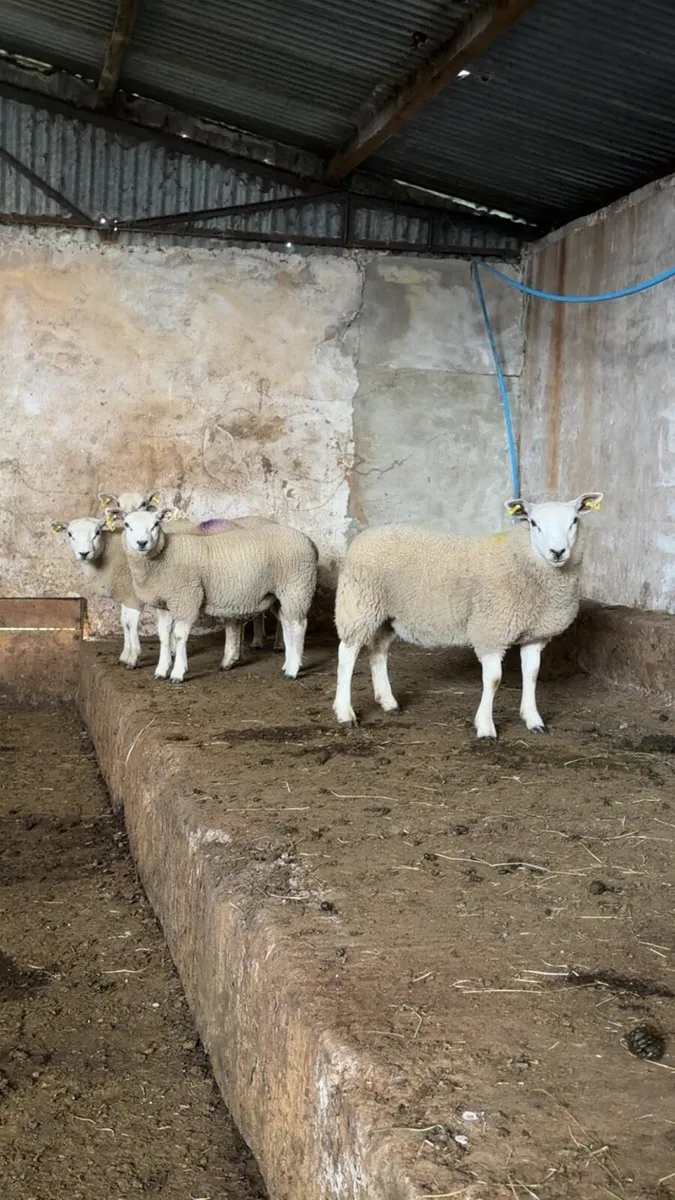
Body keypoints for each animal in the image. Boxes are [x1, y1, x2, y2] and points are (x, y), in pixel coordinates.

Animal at [120, 504, 318, 683]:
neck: (164, 557)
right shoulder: (164, 603)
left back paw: (293, 670)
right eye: (127, 524)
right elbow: (163, 635)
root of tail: (309, 541)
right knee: (287, 623)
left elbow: (179, 635)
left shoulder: (187, 598)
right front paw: (161, 670)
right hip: (278, 595)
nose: (142, 543)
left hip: (297, 588)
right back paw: (288, 663)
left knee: (299, 625)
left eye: (155, 524)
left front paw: (177, 673)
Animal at [332, 493, 603, 739]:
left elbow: (532, 674)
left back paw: (388, 702)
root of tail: (365, 535)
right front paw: (485, 728)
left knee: (378, 652)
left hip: (387, 616)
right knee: (347, 654)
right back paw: (345, 713)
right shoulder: (490, 631)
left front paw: (533, 719)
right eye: (534, 523)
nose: (557, 551)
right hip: (358, 605)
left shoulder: (535, 635)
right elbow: (493, 680)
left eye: (574, 520)